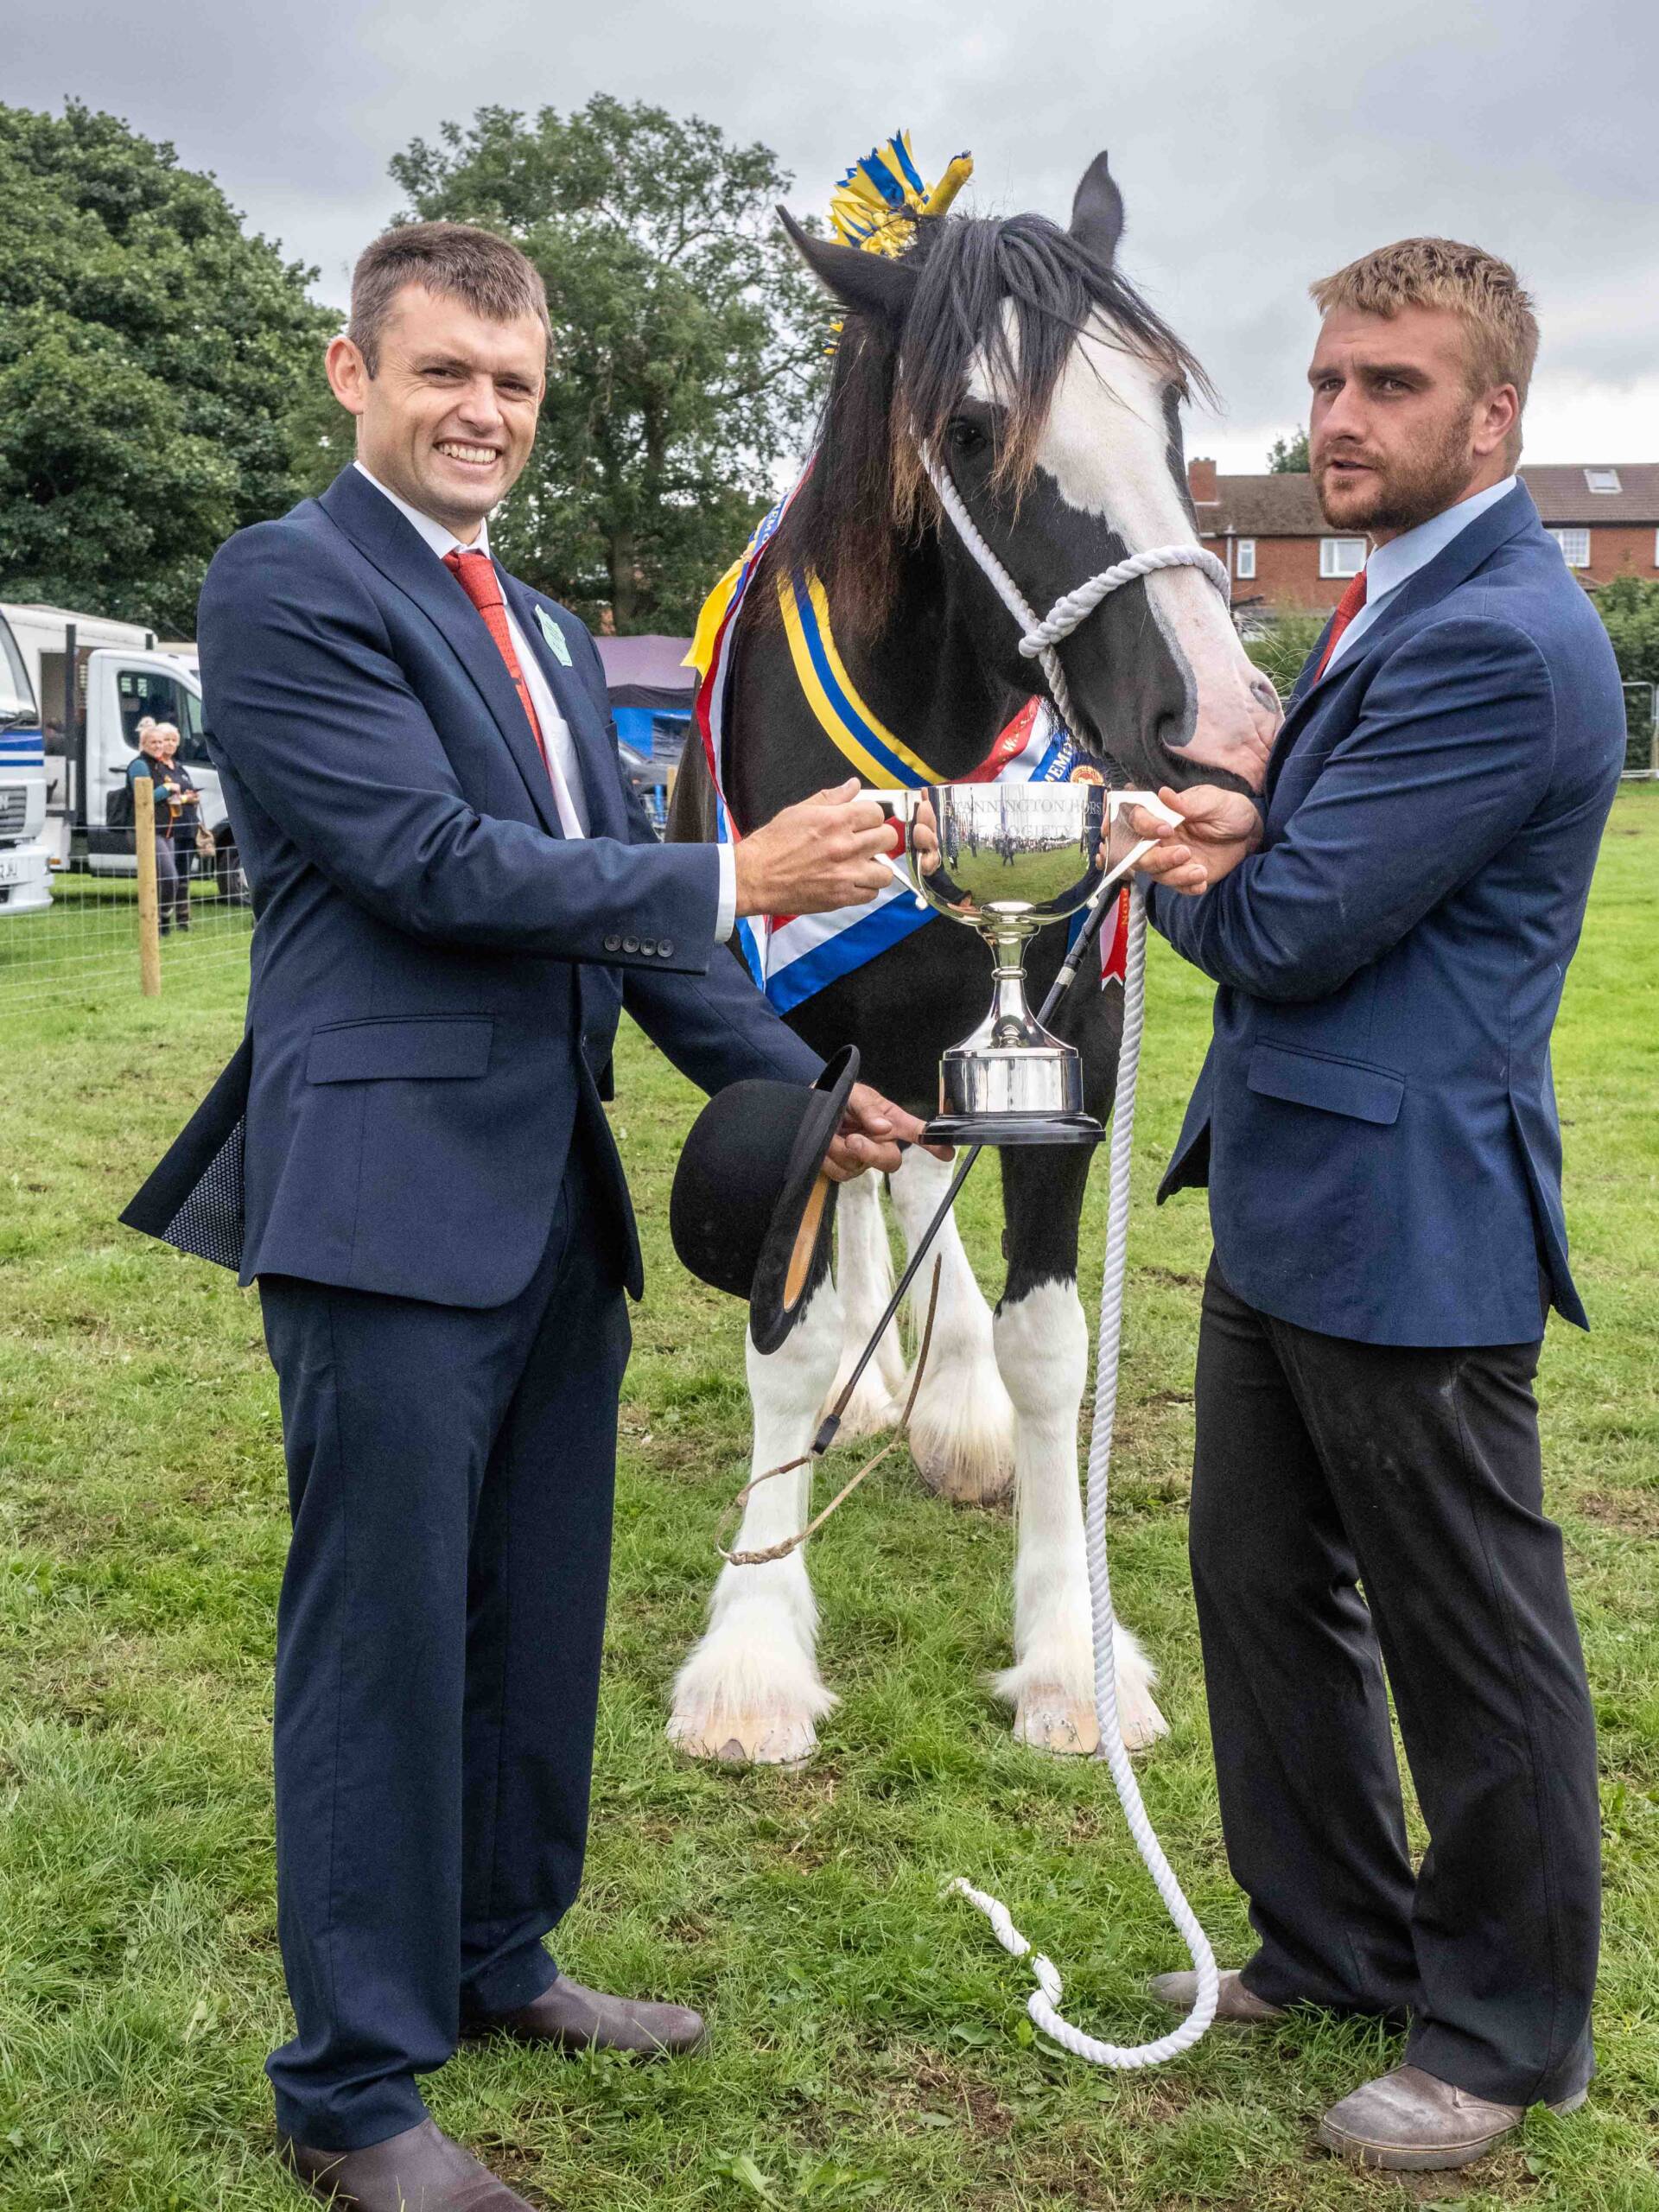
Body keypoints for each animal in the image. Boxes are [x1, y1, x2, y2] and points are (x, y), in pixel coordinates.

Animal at [668, 151, 1282, 1760]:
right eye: (972, 427)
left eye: (1170, 405)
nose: (1228, 730)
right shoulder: (802, 1043)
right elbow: (793, 1325)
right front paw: (752, 1649)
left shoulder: (1069, 1042)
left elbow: (1048, 1344)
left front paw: (1073, 1653)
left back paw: (944, 1406)